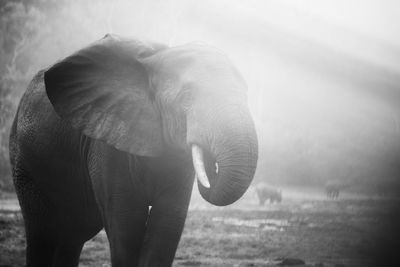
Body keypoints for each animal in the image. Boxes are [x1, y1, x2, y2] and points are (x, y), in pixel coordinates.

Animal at [10, 34, 260, 266]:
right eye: (187, 97)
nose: (211, 166)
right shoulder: (106, 142)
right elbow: (127, 220)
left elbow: (168, 221)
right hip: (23, 163)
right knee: (43, 232)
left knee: (73, 235)